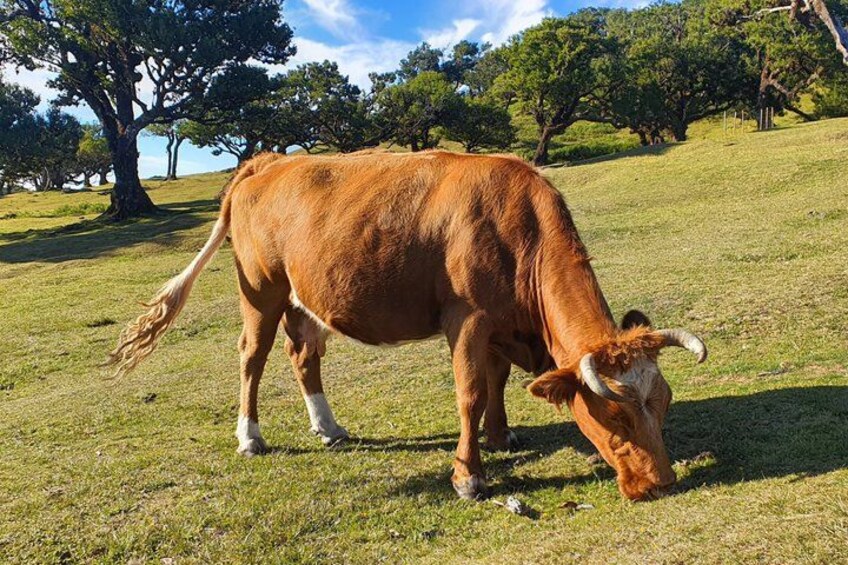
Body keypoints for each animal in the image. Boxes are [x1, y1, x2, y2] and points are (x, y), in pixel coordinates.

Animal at [108, 150, 706, 502]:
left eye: (664, 403)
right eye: (615, 415)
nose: (660, 484)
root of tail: (269, 160)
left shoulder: (497, 322)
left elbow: (496, 382)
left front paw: (501, 435)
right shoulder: (467, 318)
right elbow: (470, 391)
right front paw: (468, 474)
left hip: (307, 295)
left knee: (304, 356)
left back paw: (328, 427)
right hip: (261, 288)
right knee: (252, 356)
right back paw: (250, 437)